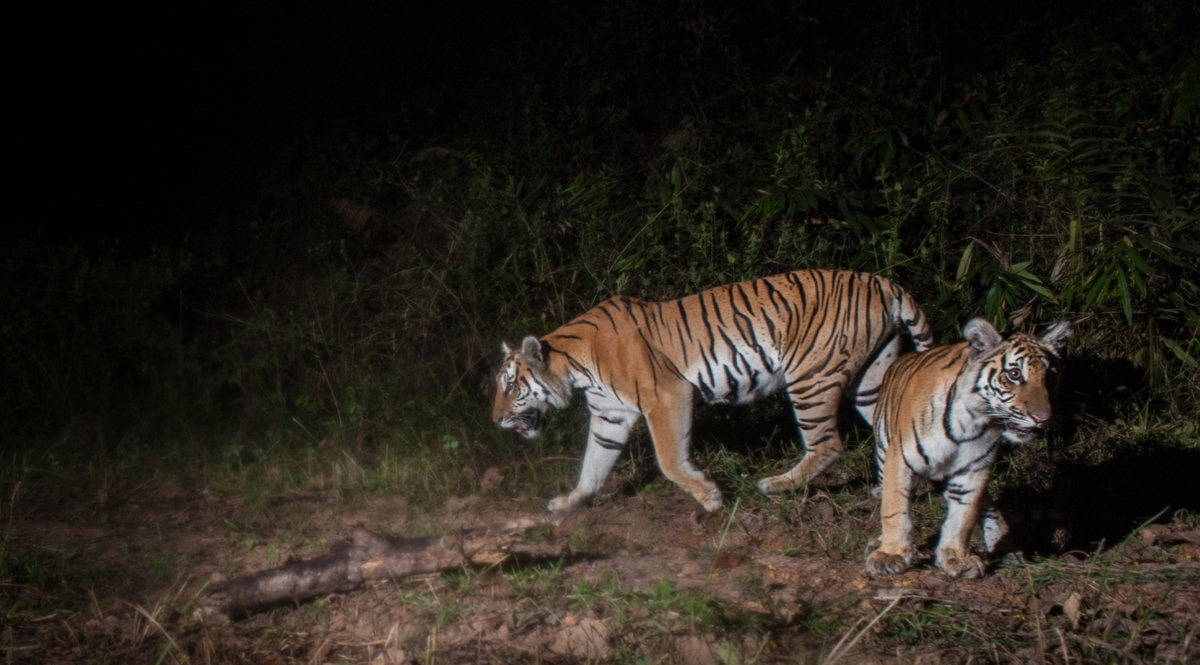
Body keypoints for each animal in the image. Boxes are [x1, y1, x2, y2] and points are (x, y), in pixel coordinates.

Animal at [489, 267, 936, 511]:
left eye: (511, 385)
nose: (495, 420)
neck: (573, 367)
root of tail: (882, 282)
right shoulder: (610, 415)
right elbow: (593, 466)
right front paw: (571, 503)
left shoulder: (667, 395)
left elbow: (669, 459)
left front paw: (709, 497)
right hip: (871, 377)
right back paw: (886, 490)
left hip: (810, 375)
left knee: (828, 444)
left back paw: (775, 485)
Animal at [864, 314, 1070, 573]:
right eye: (1014, 374)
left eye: (1050, 375)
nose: (1042, 417)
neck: (973, 421)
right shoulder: (899, 459)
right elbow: (894, 509)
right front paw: (890, 555)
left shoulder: (974, 470)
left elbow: (963, 517)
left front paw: (955, 558)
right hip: (883, 450)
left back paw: (1007, 548)